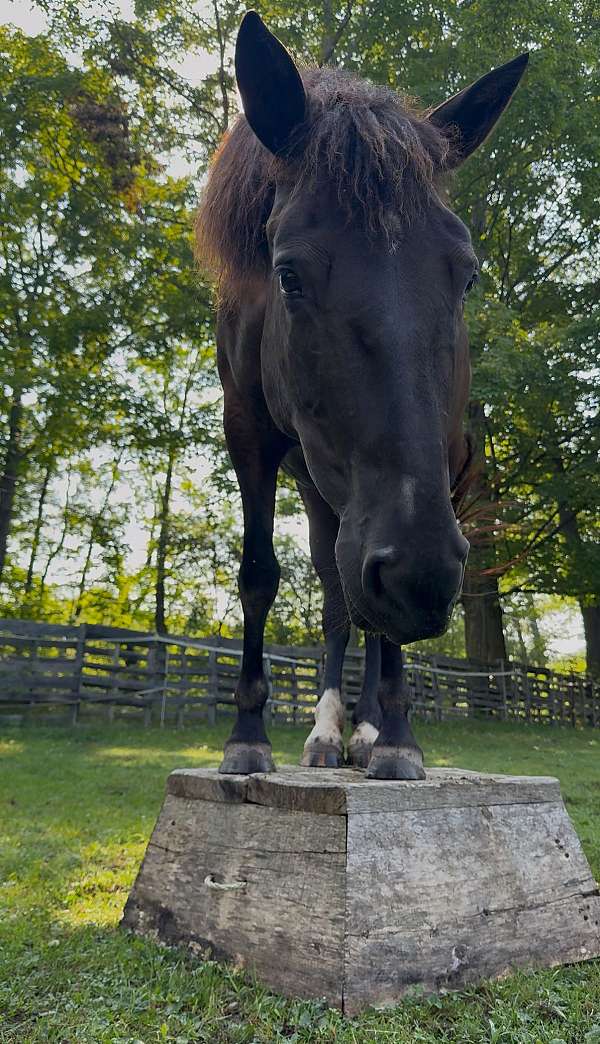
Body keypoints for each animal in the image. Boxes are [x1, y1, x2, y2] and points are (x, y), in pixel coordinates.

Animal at [196, 11, 527, 780]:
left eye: (465, 275)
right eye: (288, 274)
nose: (418, 577)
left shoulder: (434, 472)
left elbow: (384, 621)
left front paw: (396, 736)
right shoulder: (247, 435)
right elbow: (261, 576)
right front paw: (247, 735)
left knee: (369, 616)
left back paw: (374, 729)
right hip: (324, 496)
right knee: (339, 598)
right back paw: (328, 733)